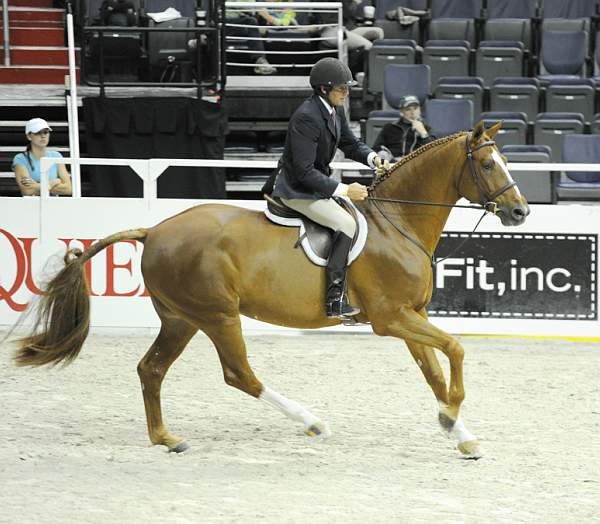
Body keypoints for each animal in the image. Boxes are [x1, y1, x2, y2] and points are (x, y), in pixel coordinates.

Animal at [12, 122, 528, 458]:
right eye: (488, 164)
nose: (520, 212)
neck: (396, 222)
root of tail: (154, 230)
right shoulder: (391, 318)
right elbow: (456, 350)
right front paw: (452, 417)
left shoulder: (409, 317)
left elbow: (435, 373)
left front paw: (458, 432)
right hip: (218, 315)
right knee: (239, 374)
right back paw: (311, 422)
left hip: (182, 317)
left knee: (151, 369)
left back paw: (166, 438)